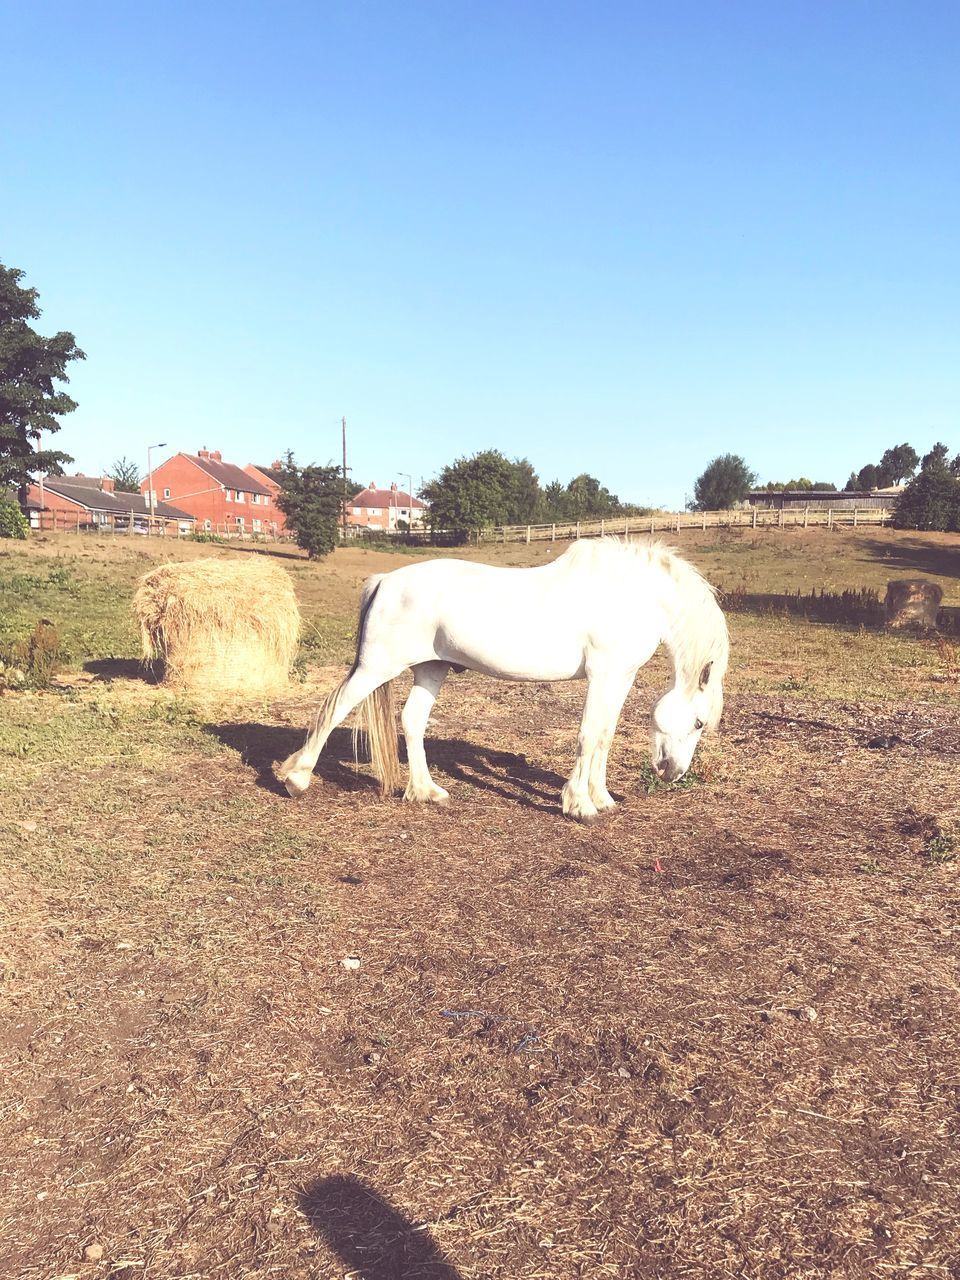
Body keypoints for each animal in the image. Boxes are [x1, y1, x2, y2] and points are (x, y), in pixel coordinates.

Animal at [276, 537, 727, 819]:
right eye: (699, 722)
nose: (672, 772)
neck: (632, 594)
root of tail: (384, 581)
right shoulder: (603, 675)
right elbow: (587, 736)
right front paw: (579, 806)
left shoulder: (620, 676)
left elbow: (604, 736)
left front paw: (602, 798)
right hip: (376, 667)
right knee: (335, 709)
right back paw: (296, 779)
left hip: (431, 668)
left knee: (412, 721)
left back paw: (427, 791)